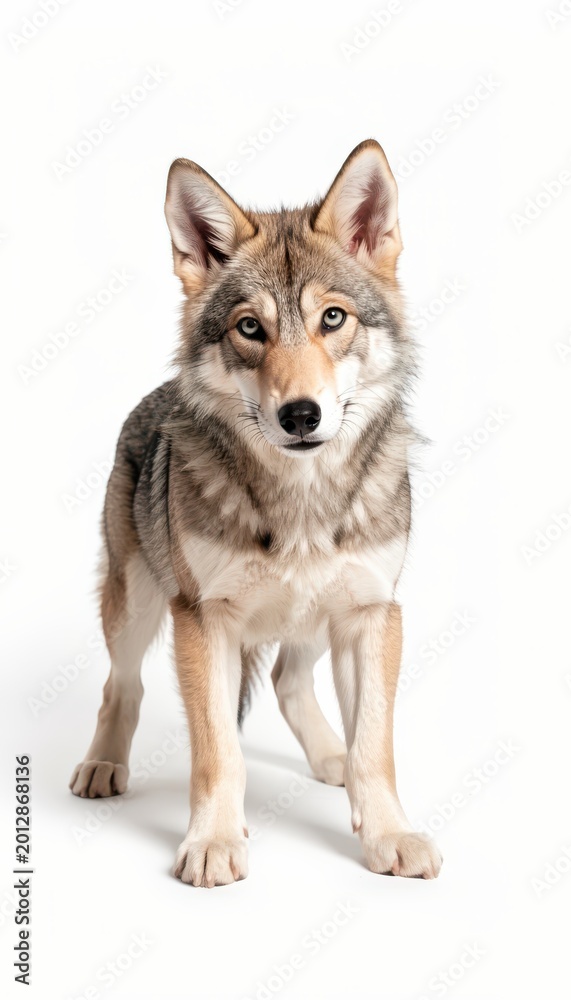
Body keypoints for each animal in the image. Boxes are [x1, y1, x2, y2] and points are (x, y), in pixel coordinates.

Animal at [69, 139, 443, 885]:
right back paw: (102, 765)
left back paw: (329, 760)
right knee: (122, 686)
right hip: (136, 605)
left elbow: (375, 745)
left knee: (285, 678)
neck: (301, 501)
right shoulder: (203, 619)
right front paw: (213, 842)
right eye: (250, 328)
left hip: (315, 616)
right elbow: (218, 751)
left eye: (333, 318)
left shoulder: (371, 613)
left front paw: (387, 833)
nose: (300, 415)